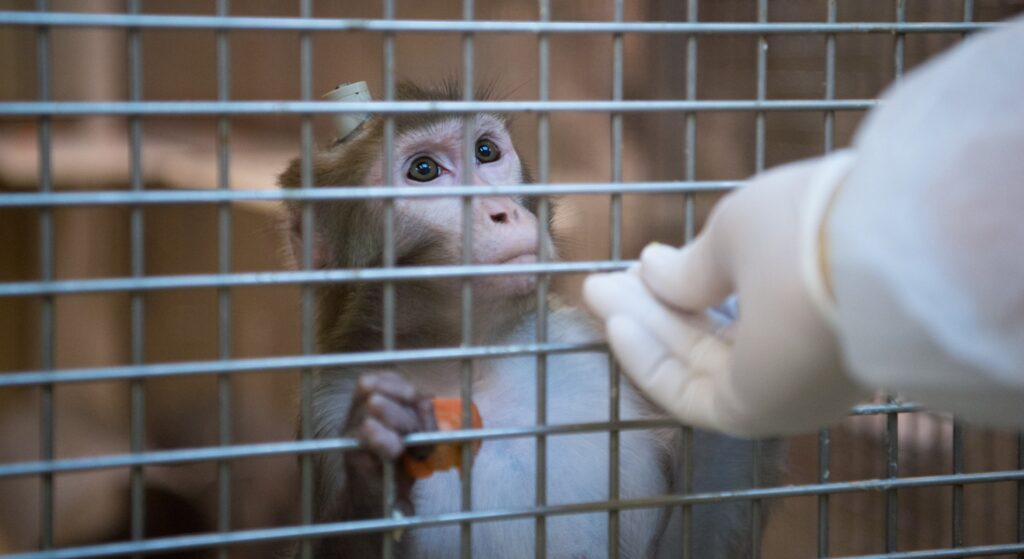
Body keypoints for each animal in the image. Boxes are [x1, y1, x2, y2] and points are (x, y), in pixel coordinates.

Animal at [277, 81, 783, 558]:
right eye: (424, 170)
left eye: (485, 152)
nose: (503, 212)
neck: (473, 359)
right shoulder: (329, 404)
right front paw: (375, 461)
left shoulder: (575, 344)